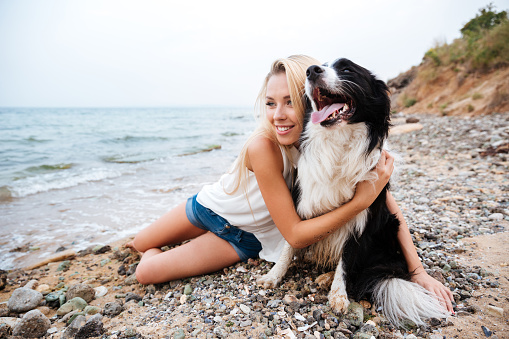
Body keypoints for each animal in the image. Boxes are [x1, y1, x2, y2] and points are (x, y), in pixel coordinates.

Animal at [258, 57, 448, 326]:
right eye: (317, 66)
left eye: (347, 69)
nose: (311, 71)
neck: (337, 143)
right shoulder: (301, 203)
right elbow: (288, 245)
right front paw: (273, 276)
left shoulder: (361, 220)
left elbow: (347, 261)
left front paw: (339, 295)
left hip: (388, 227)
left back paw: (328, 279)